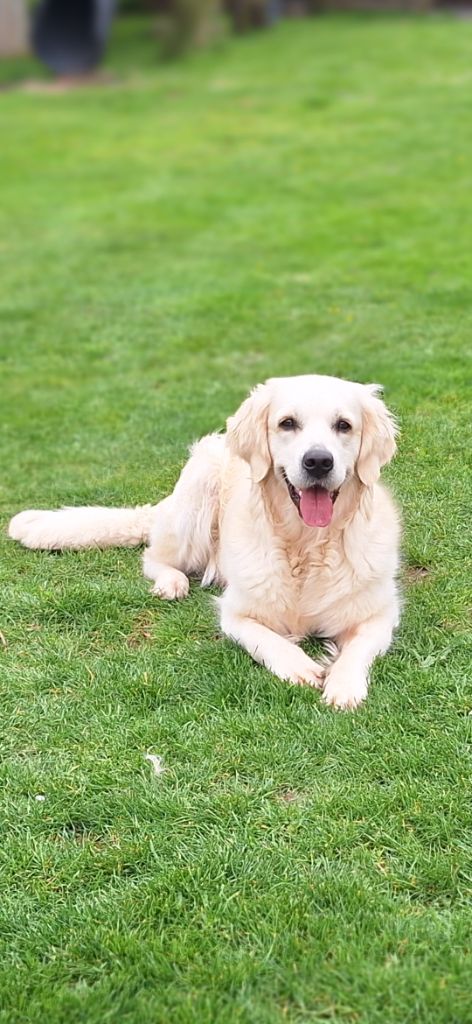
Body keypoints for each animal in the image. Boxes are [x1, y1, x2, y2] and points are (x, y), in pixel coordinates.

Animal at [8, 372, 397, 708]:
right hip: (195, 503)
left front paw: (344, 685)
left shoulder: (381, 613)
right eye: (287, 423)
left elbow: (359, 647)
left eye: (343, 426)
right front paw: (297, 665)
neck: (307, 544)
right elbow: (265, 640)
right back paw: (171, 582)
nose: (318, 461)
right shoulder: (235, 613)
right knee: (155, 557)